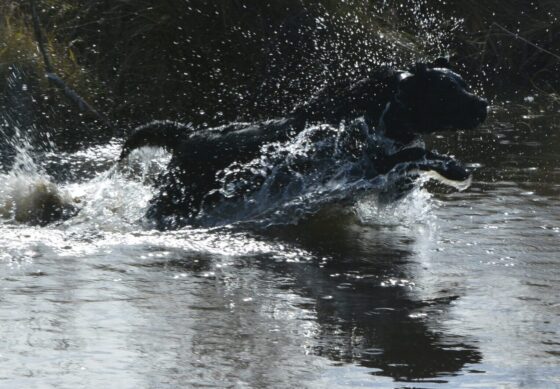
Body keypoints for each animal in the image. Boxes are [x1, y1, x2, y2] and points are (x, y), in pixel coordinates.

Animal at [121, 58, 486, 227]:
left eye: (464, 83)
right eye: (447, 92)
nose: (483, 105)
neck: (383, 108)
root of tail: (186, 135)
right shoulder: (357, 164)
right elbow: (415, 152)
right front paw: (453, 167)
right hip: (174, 200)